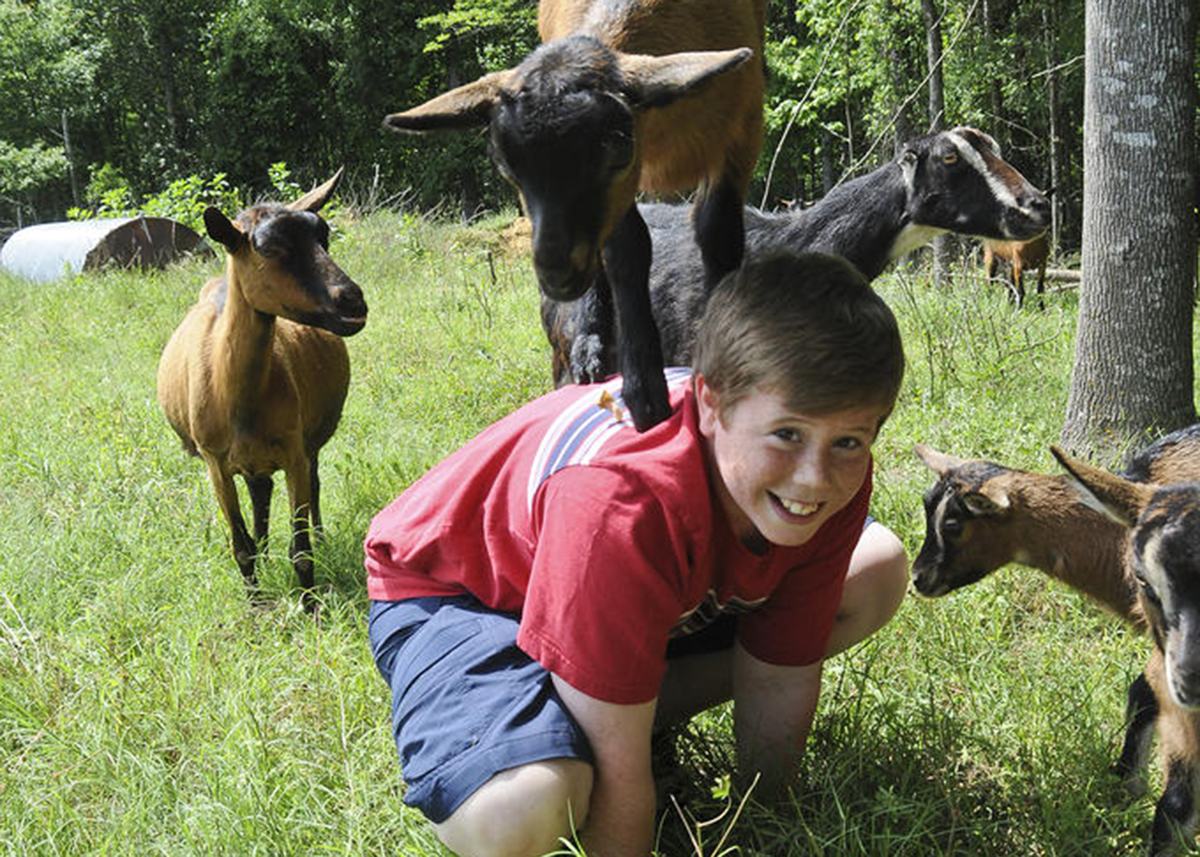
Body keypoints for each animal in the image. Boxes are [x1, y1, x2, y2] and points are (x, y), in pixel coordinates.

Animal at [384, 0, 763, 429]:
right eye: (506, 167)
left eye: (616, 149)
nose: (556, 275)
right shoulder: (618, 196)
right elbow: (626, 251)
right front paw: (644, 390)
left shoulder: (741, 129)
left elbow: (719, 233)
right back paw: (589, 346)